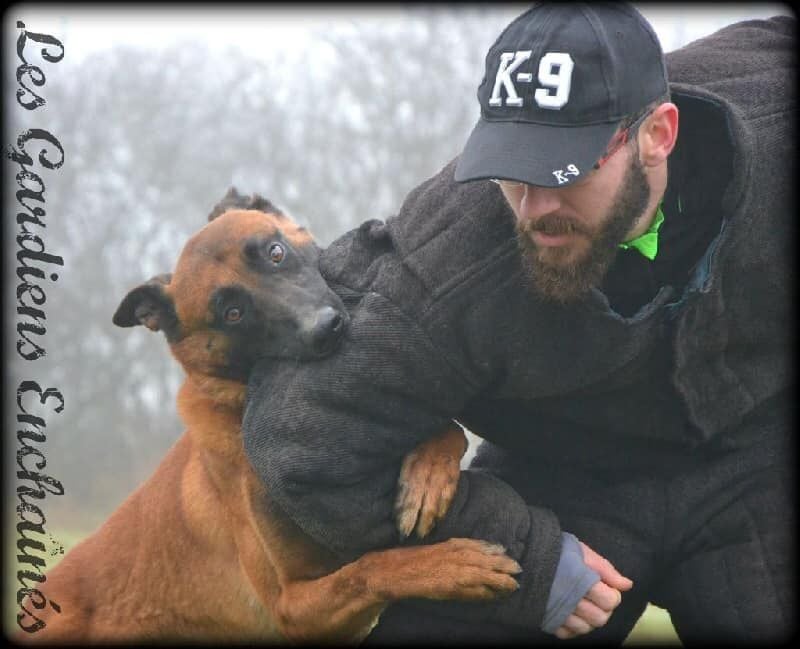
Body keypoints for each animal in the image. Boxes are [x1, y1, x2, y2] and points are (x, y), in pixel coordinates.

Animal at [18, 189, 520, 644]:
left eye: (275, 252)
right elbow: (372, 567)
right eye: (232, 313)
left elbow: (449, 429)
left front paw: (428, 476)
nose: (327, 328)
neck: (242, 406)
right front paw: (452, 566)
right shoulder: (294, 608)